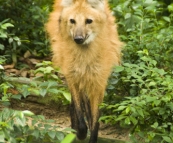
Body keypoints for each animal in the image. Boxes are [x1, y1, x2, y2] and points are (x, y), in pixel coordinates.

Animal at [45, 0, 121, 142]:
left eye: (89, 21)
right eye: (72, 21)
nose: (78, 38)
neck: (85, 57)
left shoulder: (98, 81)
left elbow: (95, 121)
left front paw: (91, 134)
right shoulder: (73, 76)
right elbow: (79, 109)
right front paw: (80, 132)